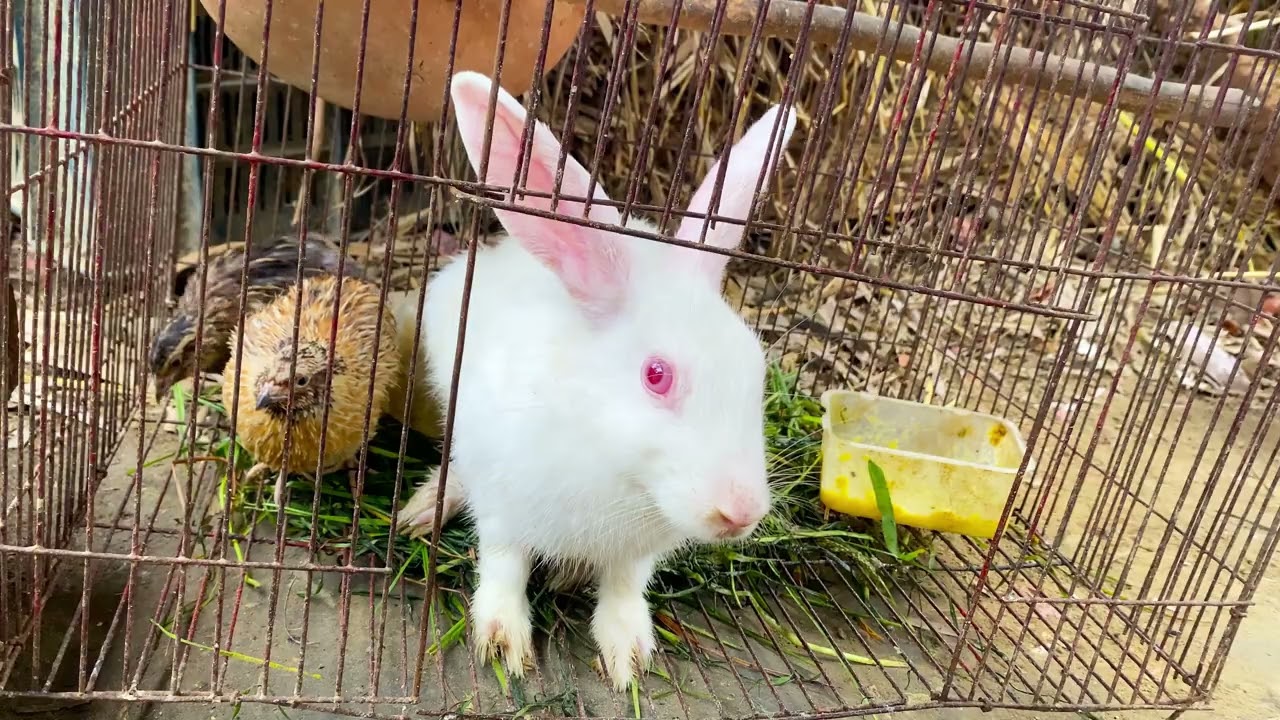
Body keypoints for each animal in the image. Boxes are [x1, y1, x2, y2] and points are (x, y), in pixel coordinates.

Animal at [397, 70, 797, 691]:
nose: (741, 513)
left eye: (756, 366)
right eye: (656, 375)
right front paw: (505, 644)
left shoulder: (640, 551)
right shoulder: (504, 505)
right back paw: (421, 510)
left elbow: (625, 585)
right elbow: (504, 563)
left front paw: (628, 656)